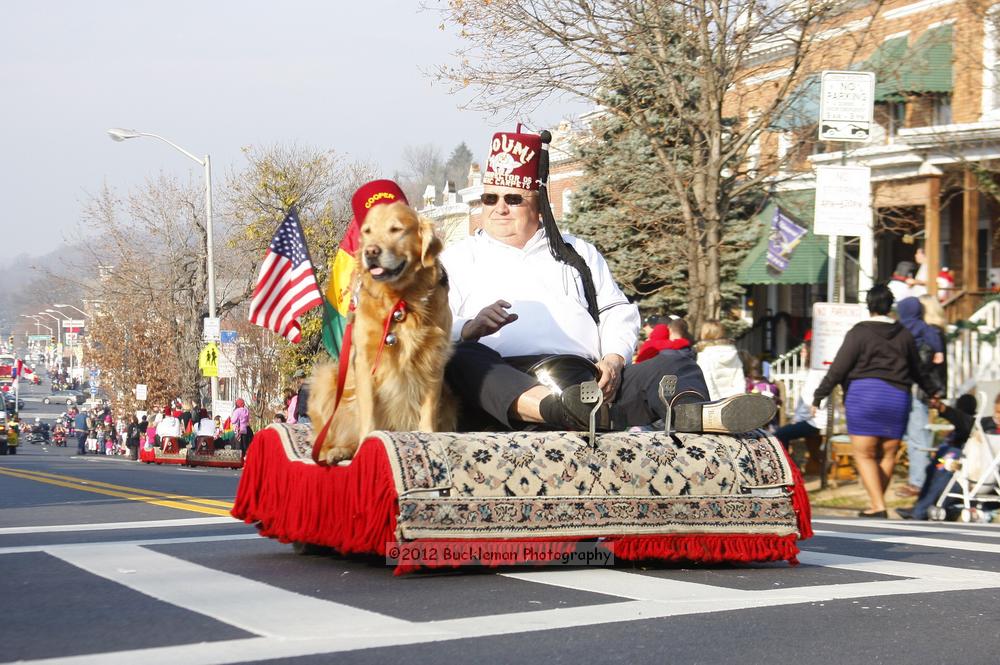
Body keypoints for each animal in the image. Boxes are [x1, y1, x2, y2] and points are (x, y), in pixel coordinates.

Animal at [308, 200, 458, 464]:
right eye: (367, 232)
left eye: (396, 229)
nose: (370, 252)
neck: (401, 300)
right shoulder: (365, 361)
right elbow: (368, 412)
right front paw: (366, 444)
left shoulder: (434, 359)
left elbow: (428, 409)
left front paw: (428, 437)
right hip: (326, 380)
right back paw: (335, 451)